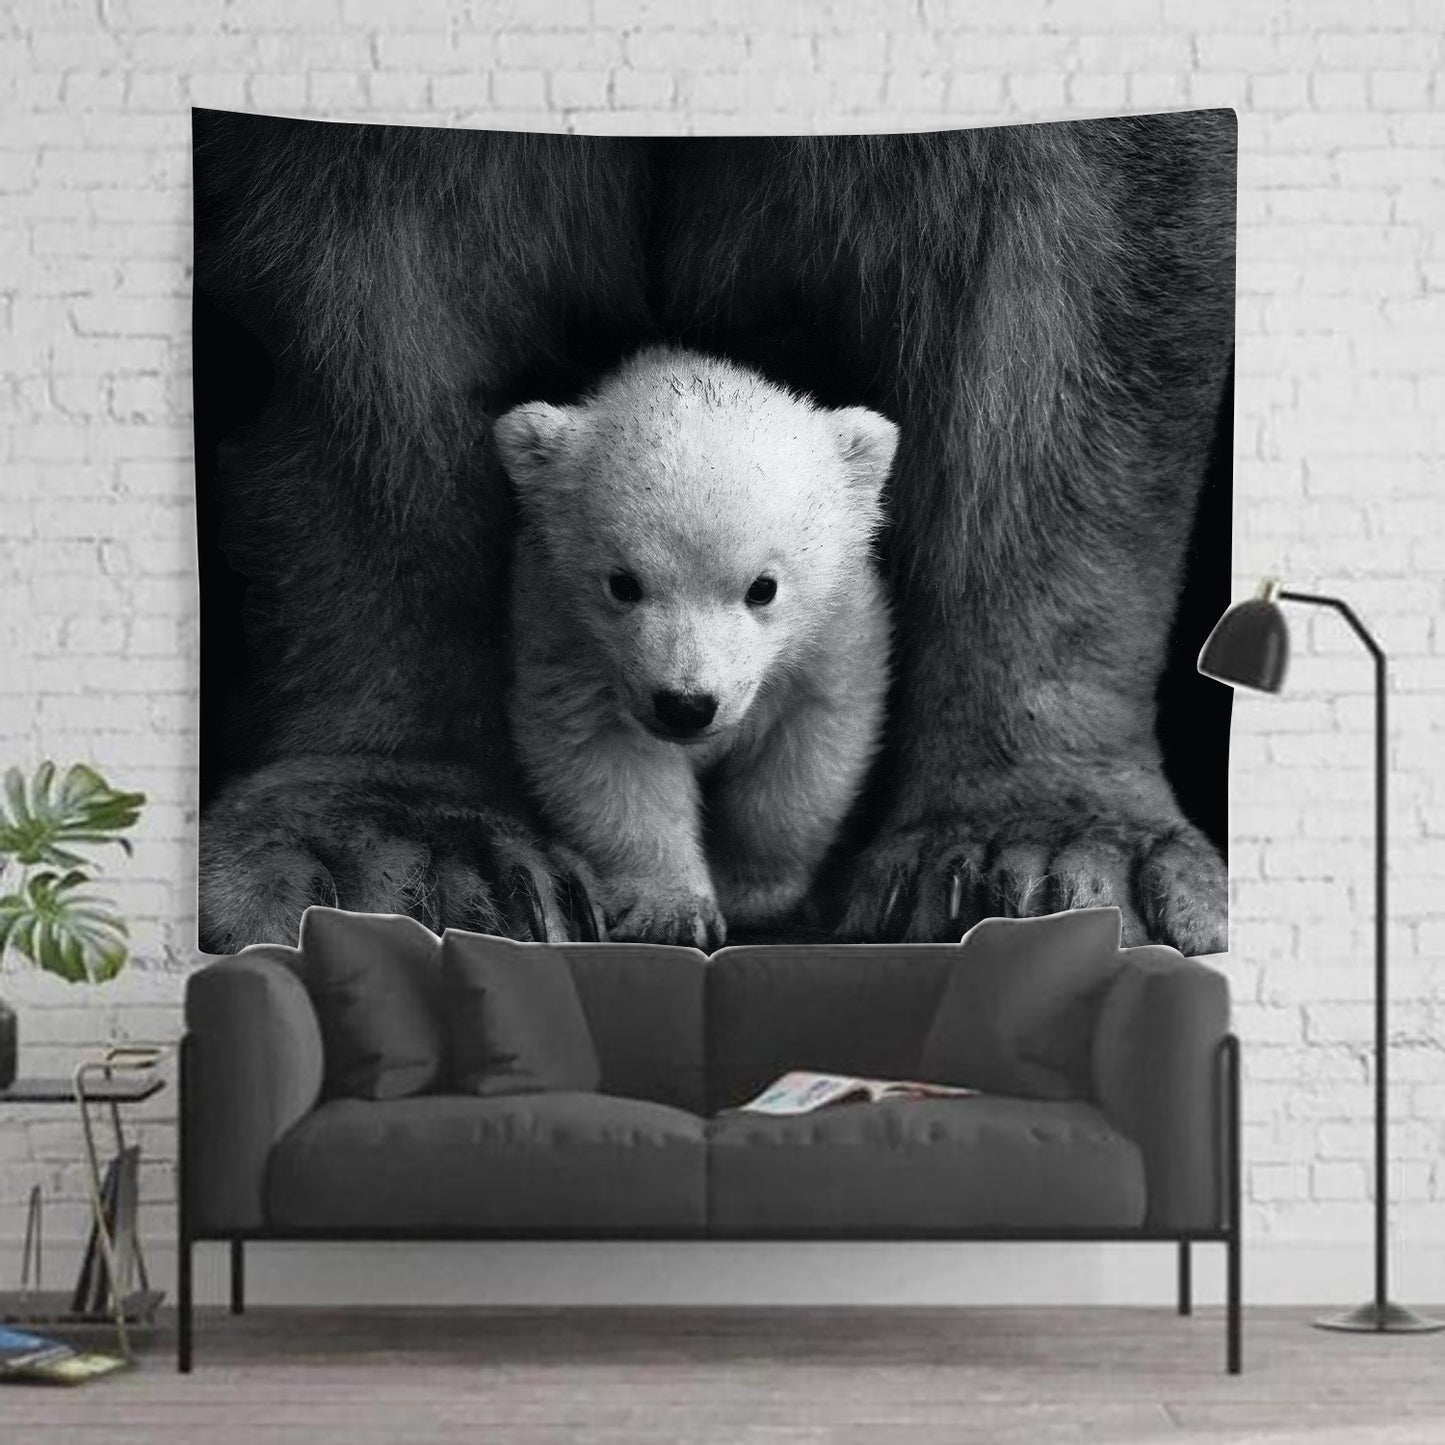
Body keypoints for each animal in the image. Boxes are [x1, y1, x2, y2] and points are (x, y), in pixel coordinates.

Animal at [493, 347, 896, 950]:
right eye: (623, 583)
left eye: (763, 587)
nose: (685, 706)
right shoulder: (565, 639)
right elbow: (609, 760)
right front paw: (673, 911)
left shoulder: (835, 635)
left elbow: (806, 753)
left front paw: (752, 891)